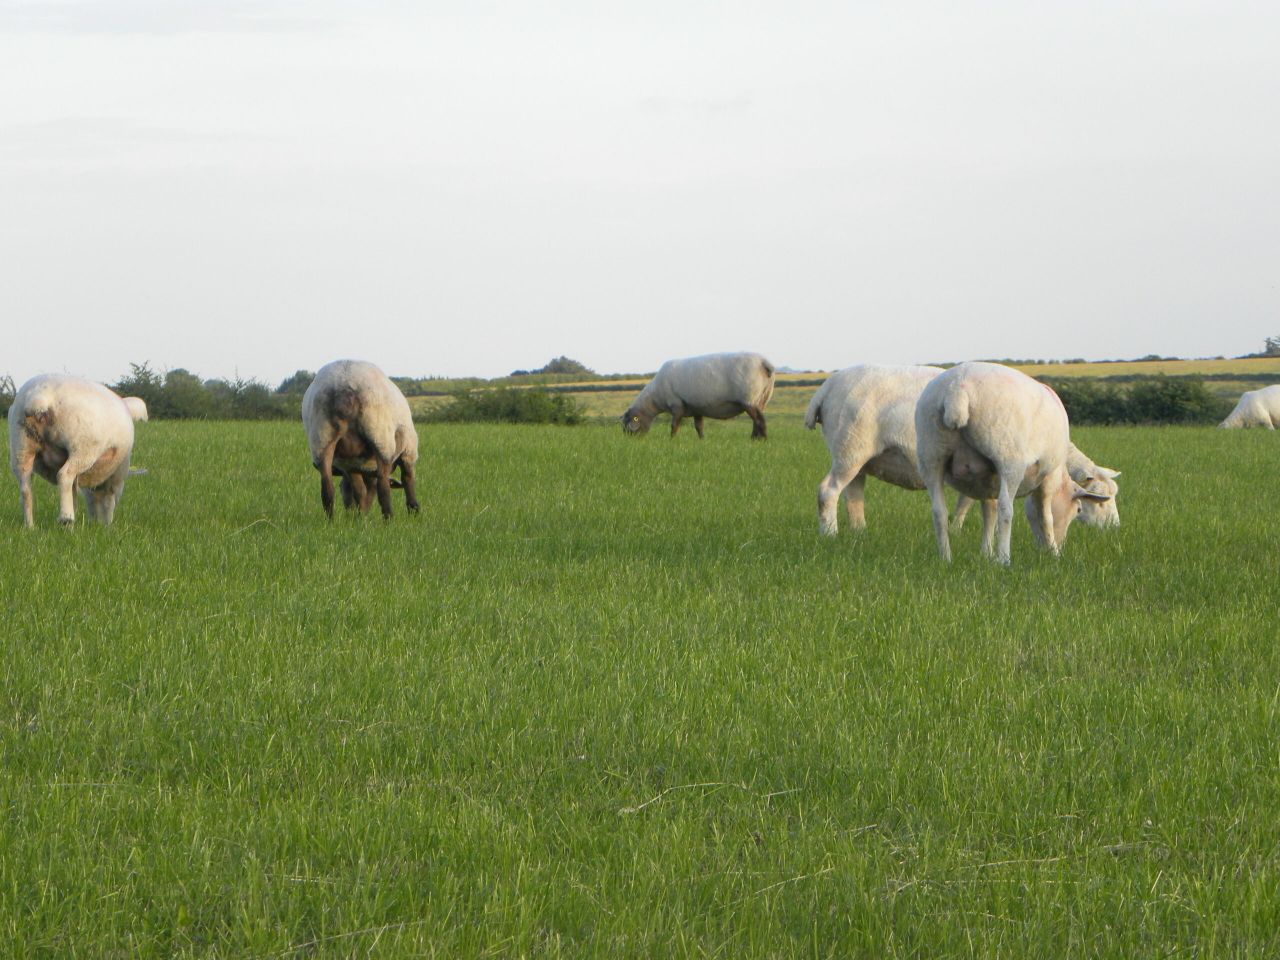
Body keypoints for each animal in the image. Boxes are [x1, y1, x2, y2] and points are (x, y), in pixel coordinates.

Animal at [8, 374, 139, 527]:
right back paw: (66, 518)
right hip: (82, 448)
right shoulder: (117, 475)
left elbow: (74, 493)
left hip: (20, 446)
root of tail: (40, 396)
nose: (99, 525)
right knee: (64, 475)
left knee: (25, 487)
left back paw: (30, 526)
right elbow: (109, 500)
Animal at [302, 359, 419, 519]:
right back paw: (388, 519)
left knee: (327, 490)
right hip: (381, 439)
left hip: (322, 438)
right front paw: (414, 511)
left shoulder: (350, 465)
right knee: (383, 488)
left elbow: (358, 491)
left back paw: (332, 521)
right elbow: (408, 480)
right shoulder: (408, 452)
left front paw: (358, 517)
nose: (352, 510)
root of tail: (344, 385)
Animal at [621, 352, 775, 439]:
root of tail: (764, 363)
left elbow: (674, 425)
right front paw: (702, 440)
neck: (655, 397)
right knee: (757, 420)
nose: (629, 441)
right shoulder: (696, 408)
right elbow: (699, 426)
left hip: (749, 398)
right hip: (762, 398)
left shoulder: (677, 404)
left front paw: (672, 440)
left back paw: (762, 440)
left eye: (628, 423)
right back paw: (754, 439)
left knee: (760, 420)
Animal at [915, 361, 1111, 565]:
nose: (1061, 544)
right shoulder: (1049, 477)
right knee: (1005, 509)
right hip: (1009, 458)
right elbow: (1045, 515)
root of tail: (957, 388)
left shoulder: (986, 480)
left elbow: (989, 512)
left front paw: (986, 553)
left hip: (930, 454)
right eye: (1078, 509)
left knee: (939, 511)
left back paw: (945, 558)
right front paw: (1054, 552)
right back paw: (1004, 559)